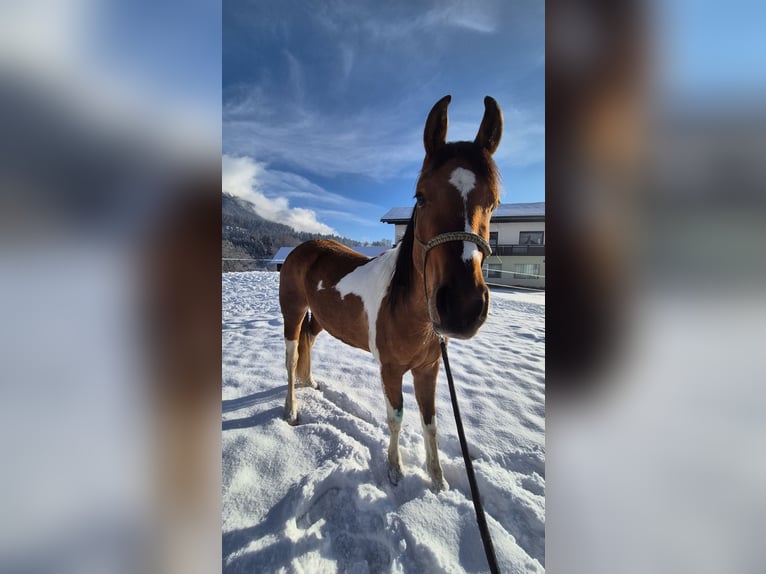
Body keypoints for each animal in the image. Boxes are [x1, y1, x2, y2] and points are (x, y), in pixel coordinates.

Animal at [278, 95, 502, 490]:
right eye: (421, 196)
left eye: (493, 202)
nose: (462, 307)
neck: (411, 313)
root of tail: (302, 248)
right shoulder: (391, 369)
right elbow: (396, 417)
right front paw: (395, 470)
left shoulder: (428, 369)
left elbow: (430, 422)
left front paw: (437, 479)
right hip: (292, 312)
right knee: (291, 358)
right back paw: (292, 410)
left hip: (319, 318)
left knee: (309, 342)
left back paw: (311, 381)